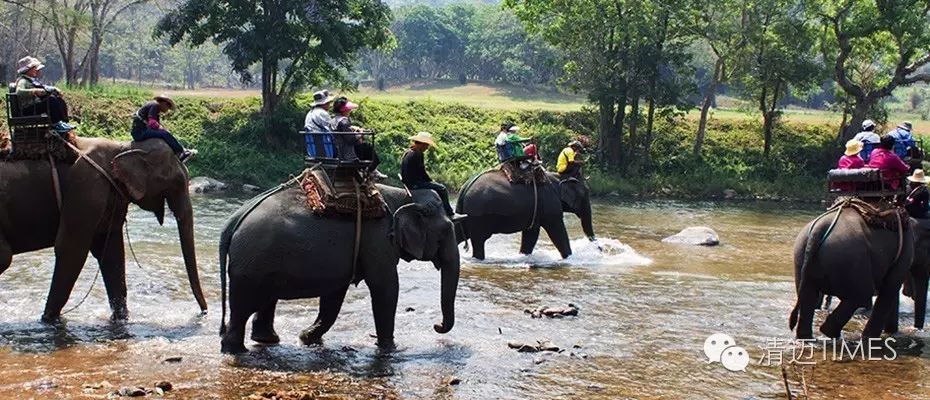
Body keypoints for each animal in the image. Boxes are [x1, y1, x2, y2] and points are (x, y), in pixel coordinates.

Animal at [0, 137, 205, 322]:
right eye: (177, 182)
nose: (203, 312)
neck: (123, 147)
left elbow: (112, 254)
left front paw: (121, 319)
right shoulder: (87, 188)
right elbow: (71, 250)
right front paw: (49, 319)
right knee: (5, 257)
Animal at [215, 184, 460, 354]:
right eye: (446, 231)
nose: (437, 325)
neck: (403, 194)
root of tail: (233, 222)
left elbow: (334, 297)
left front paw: (306, 337)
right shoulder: (378, 241)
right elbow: (385, 287)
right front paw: (390, 348)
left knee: (265, 300)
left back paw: (267, 340)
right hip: (251, 266)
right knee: (243, 306)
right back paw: (236, 350)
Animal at [452, 171, 592, 260]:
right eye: (586, 194)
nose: (596, 246)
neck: (558, 177)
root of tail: (464, 189)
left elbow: (531, 234)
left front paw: (524, 256)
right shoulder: (550, 205)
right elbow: (557, 232)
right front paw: (569, 258)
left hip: (466, 214)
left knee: (459, 233)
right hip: (479, 215)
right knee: (479, 241)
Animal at [788, 206, 916, 340]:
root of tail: (817, 231)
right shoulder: (904, 252)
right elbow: (890, 287)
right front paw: (873, 337)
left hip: (802, 255)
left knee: (808, 295)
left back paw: (809, 337)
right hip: (849, 258)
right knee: (862, 294)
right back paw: (831, 333)